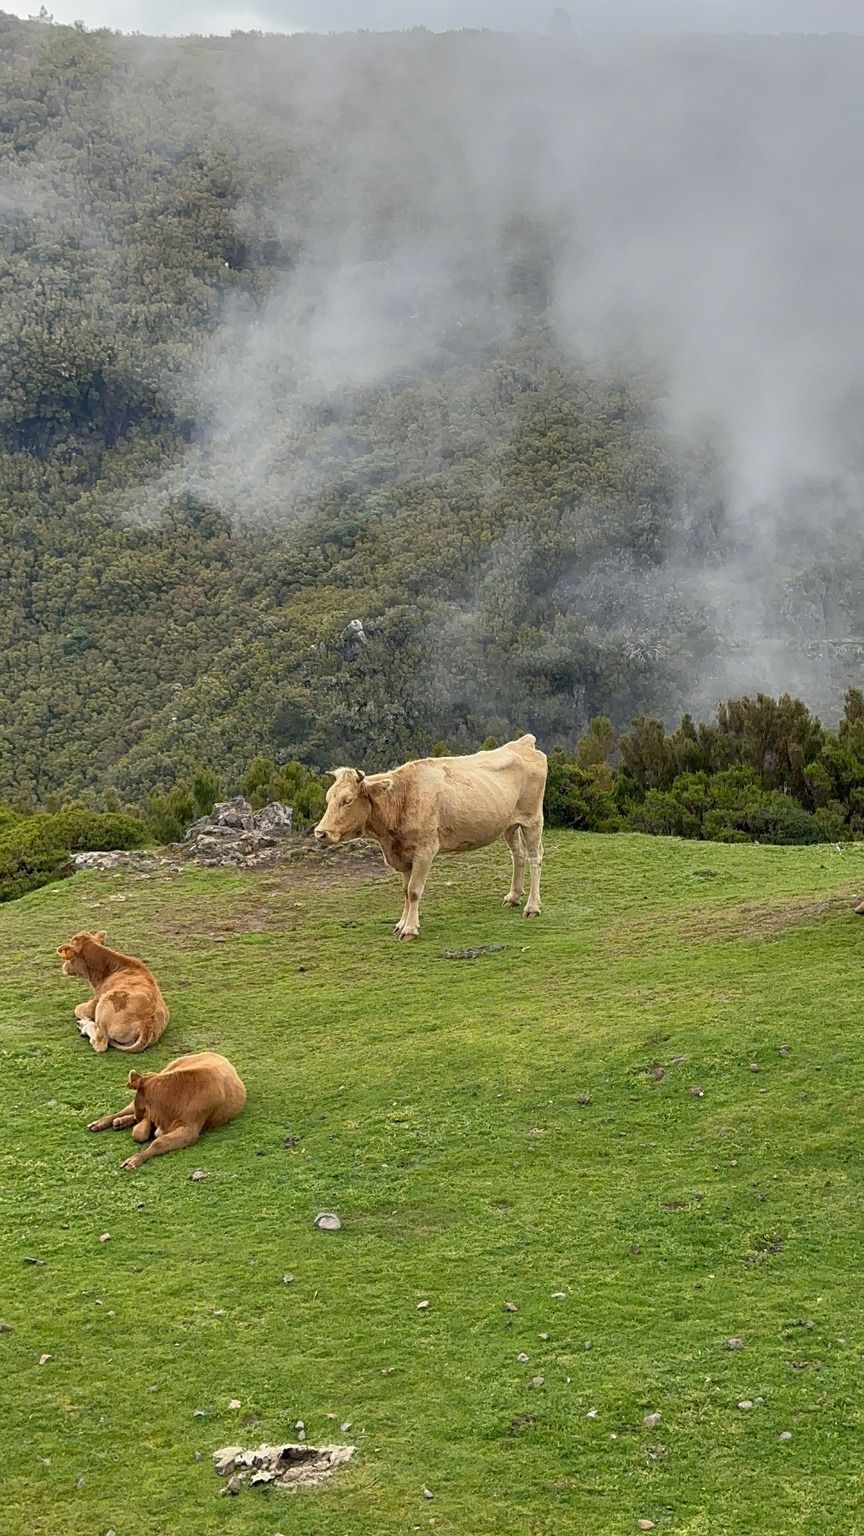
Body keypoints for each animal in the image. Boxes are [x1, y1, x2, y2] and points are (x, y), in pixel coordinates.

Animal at [87, 1052, 246, 1170]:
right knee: (120, 1112)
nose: (138, 1117)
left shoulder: (189, 1129)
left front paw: (133, 1160)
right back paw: (100, 1123)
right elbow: (141, 1133)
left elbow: (158, 1142)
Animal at [314, 733, 547, 939]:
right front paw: (401, 924)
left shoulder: (425, 850)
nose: (320, 832)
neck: (402, 797)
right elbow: (405, 891)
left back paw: (532, 907)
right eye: (328, 798)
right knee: (518, 854)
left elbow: (414, 890)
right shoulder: (404, 853)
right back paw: (513, 897)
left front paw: (409, 929)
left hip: (532, 819)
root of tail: (522, 743)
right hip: (509, 825)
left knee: (535, 857)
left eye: (347, 800)